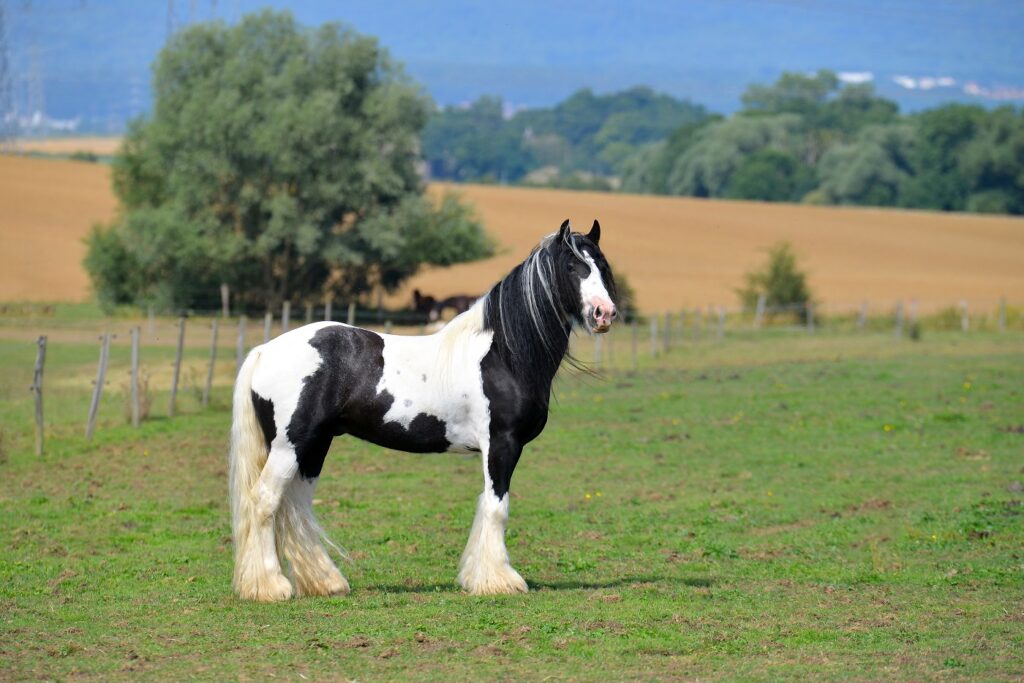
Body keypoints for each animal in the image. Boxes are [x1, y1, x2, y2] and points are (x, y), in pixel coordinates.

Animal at [231, 222, 614, 602]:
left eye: (600, 264)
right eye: (572, 266)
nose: (604, 313)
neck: (503, 354)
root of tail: (264, 351)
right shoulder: (502, 444)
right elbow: (496, 507)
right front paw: (499, 581)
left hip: (314, 445)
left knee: (295, 506)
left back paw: (325, 582)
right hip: (289, 446)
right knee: (265, 501)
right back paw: (269, 587)